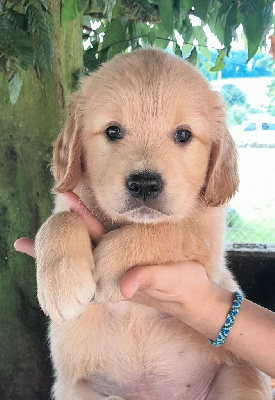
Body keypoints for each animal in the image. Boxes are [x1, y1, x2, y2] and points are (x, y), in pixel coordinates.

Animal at [34, 48, 272, 398]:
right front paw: (61, 284)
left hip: (242, 378)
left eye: (184, 135)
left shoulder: (210, 239)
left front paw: (108, 262)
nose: (145, 184)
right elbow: (58, 221)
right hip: (79, 390)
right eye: (112, 131)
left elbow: (171, 230)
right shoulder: (68, 198)